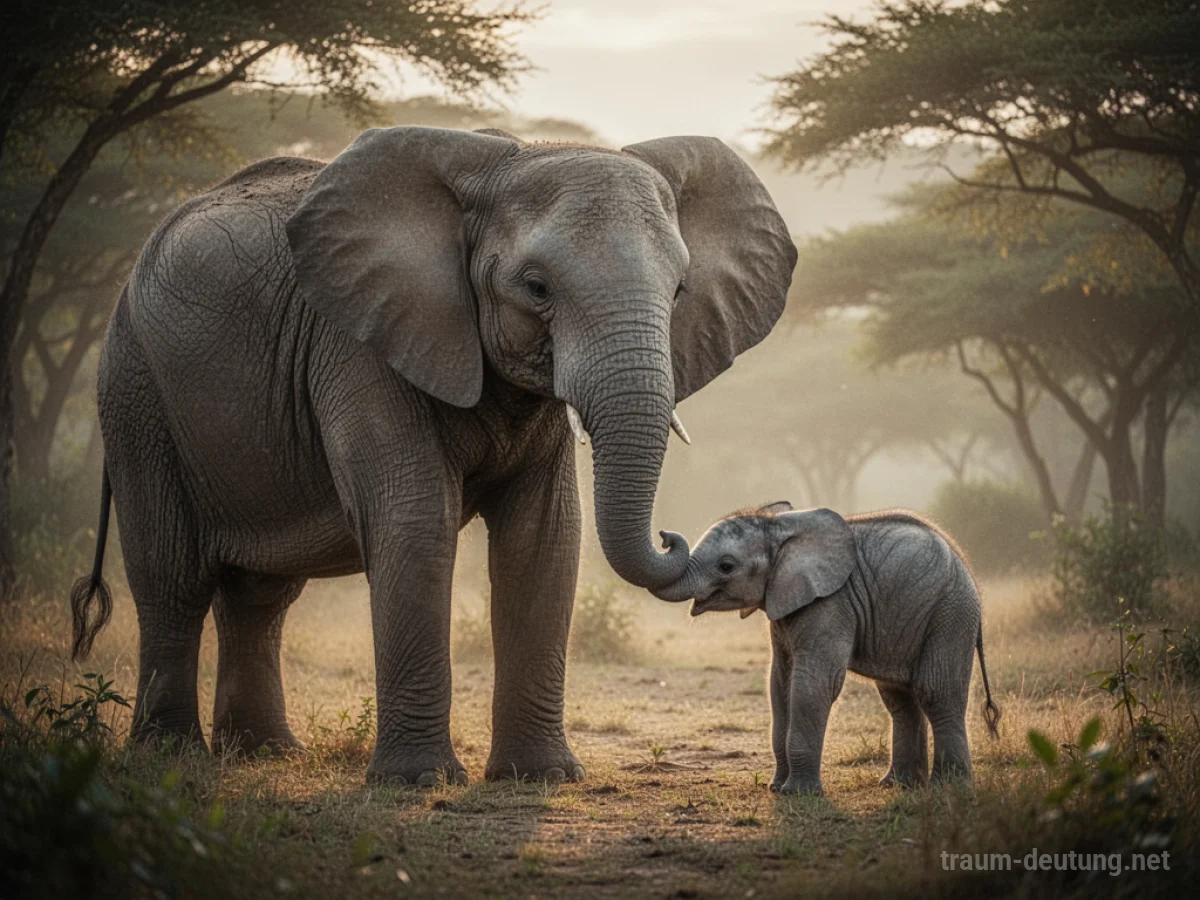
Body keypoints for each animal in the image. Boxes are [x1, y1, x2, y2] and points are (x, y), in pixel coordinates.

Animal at [67, 126, 797, 786]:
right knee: (172, 576)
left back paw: (266, 755)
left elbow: (544, 538)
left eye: (678, 293)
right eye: (536, 287)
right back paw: (169, 757)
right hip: (135, 391)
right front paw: (418, 781)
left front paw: (541, 778)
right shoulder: (358, 343)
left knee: (260, 593)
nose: (674, 538)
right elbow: (415, 522)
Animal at [652, 503, 1000, 795]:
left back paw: (948, 788)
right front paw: (776, 788)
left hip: (951, 614)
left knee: (936, 692)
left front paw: (798, 794)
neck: (777, 527)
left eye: (726, 566)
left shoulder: (831, 603)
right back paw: (897, 785)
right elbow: (779, 684)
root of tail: (967, 569)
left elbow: (813, 684)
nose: (664, 535)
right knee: (899, 697)